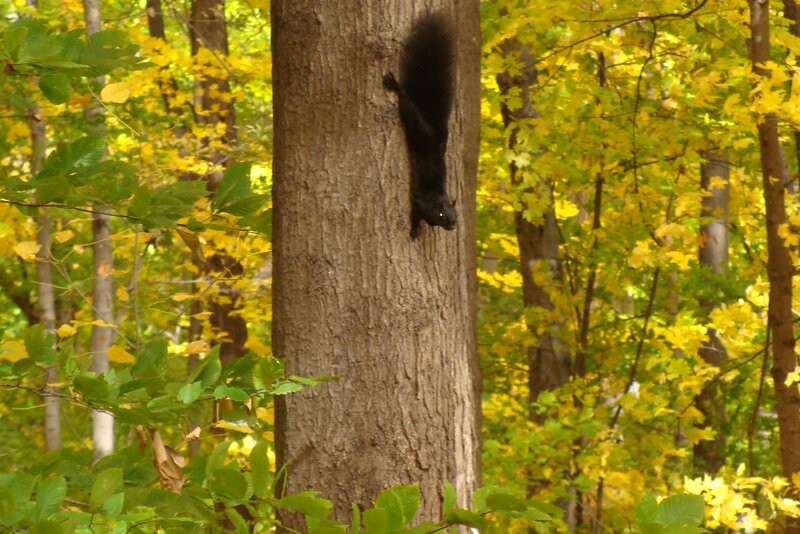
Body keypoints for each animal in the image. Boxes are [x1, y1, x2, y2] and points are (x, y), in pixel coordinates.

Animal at [383, 14, 457, 239]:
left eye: (456, 215)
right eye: (442, 215)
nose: (452, 225)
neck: (438, 199)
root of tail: (437, 135)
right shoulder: (420, 203)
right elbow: (415, 212)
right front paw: (415, 229)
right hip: (419, 129)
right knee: (406, 101)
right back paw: (395, 86)